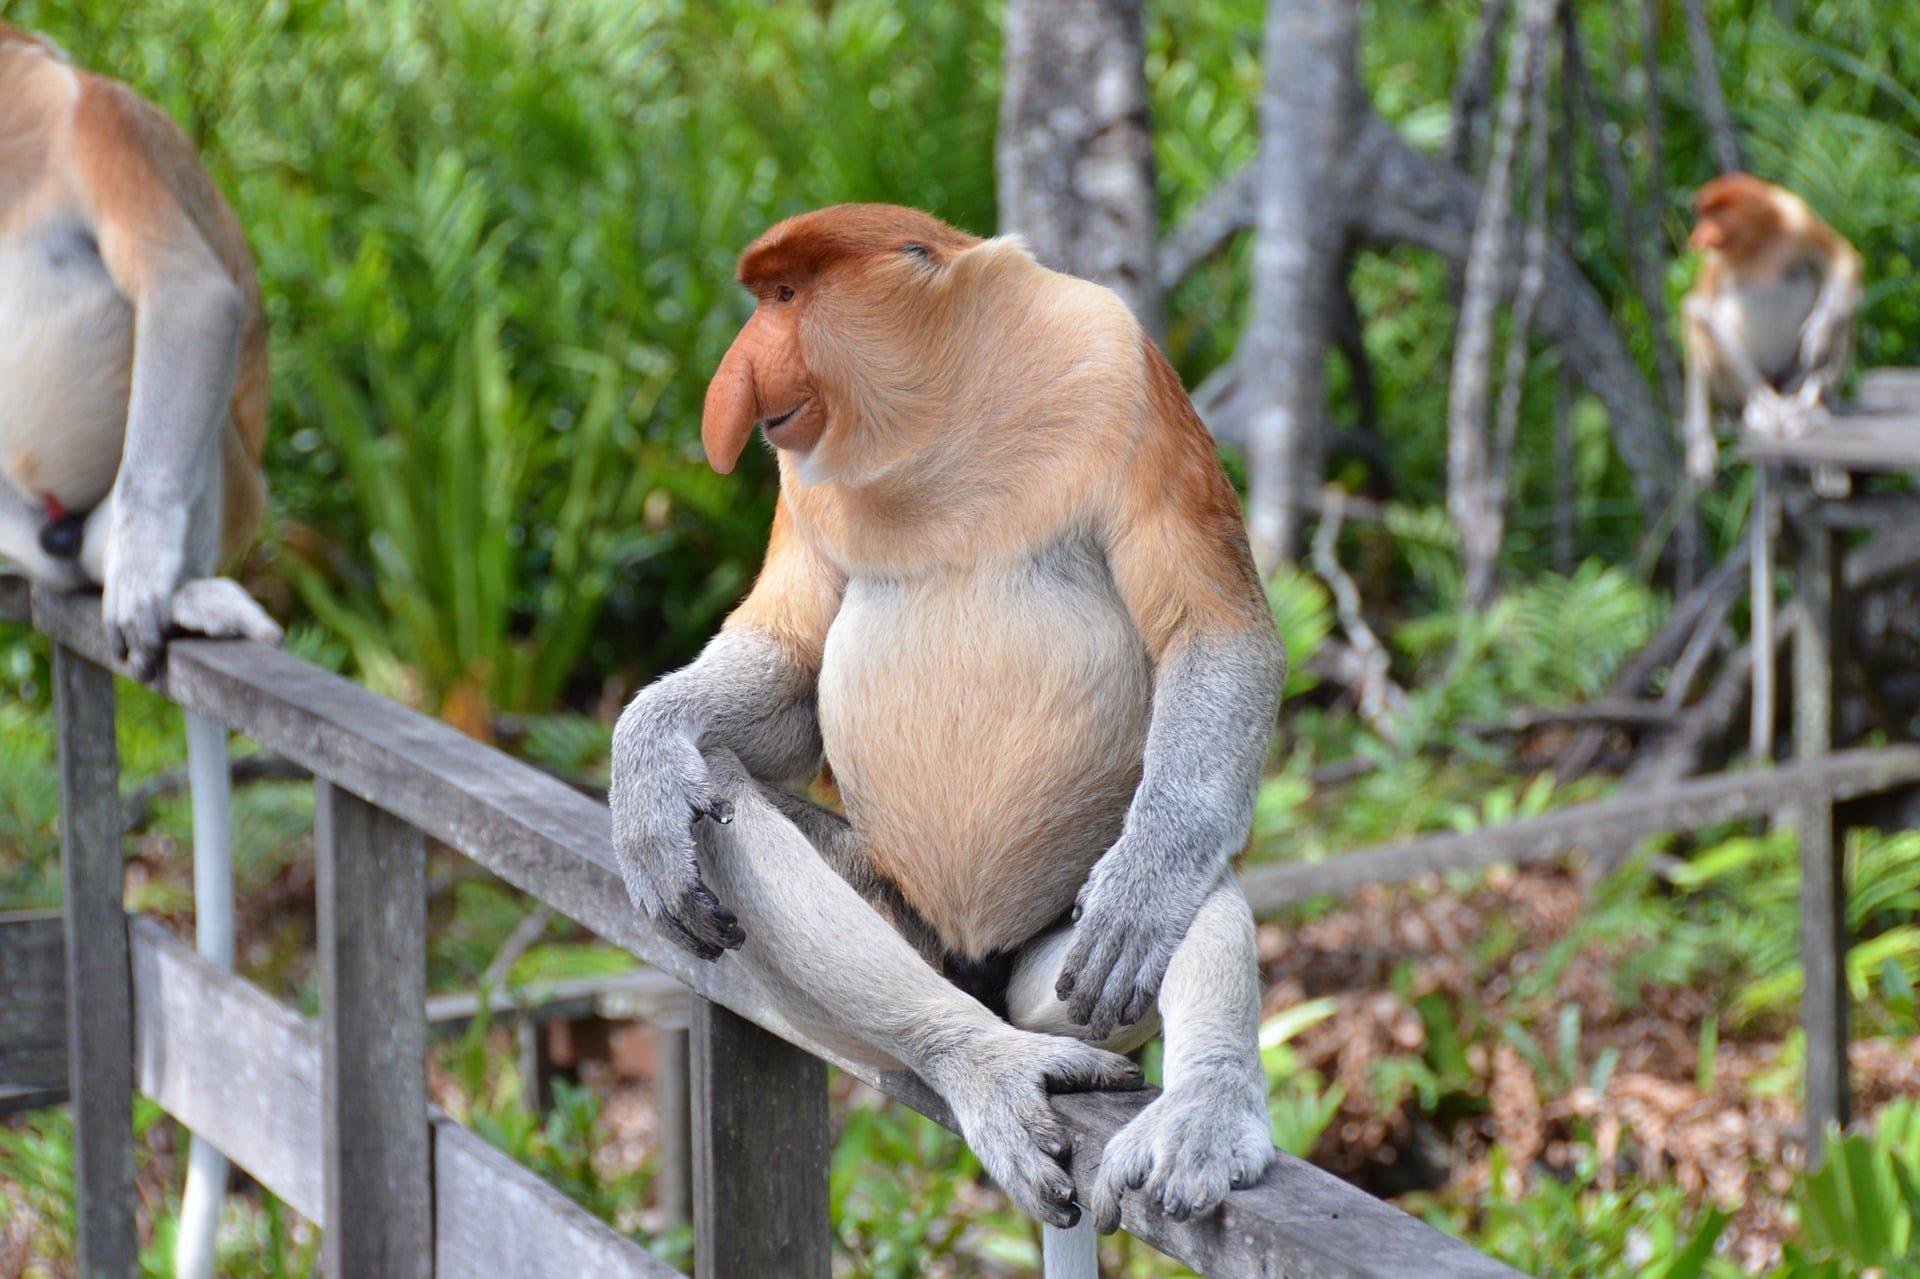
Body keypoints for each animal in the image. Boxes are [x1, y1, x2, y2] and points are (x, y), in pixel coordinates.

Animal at [606, 204, 1282, 1229]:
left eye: (786, 295)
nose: (735, 377)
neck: (940, 418)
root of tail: (980, 966)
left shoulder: (1121, 368)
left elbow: (1215, 635)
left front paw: (1145, 891)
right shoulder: (801, 479)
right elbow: (790, 665)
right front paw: (644, 757)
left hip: (1066, 963)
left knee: (1188, 877)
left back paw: (1199, 1106)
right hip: (903, 927)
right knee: (718, 788)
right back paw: (978, 1057)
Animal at [1689, 171, 1866, 480]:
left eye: (1714, 214)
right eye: (1703, 214)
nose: (1698, 237)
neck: (1757, 239)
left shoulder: (1798, 219)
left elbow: (1842, 259)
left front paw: (1818, 335)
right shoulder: (1714, 259)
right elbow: (1697, 308)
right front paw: (1700, 452)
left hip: (1789, 381)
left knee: (1846, 311)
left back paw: (1810, 403)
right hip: (1739, 391)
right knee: (1706, 323)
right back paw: (1766, 410)